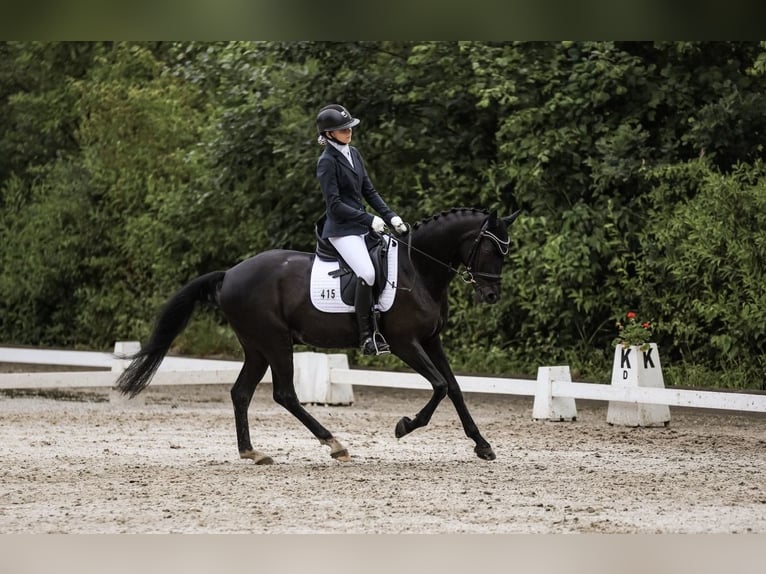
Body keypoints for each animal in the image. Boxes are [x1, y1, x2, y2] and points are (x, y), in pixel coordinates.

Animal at [115, 207, 520, 463]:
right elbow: (438, 385)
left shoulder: (432, 341)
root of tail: (230, 273)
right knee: (284, 394)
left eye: (506, 249)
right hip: (275, 342)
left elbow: (454, 388)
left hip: (257, 347)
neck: (418, 269)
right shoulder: (406, 343)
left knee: (241, 393)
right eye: (489, 247)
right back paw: (334, 444)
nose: (491, 294)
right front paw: (404, 426)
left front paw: (482, 445)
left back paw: (252, 452)